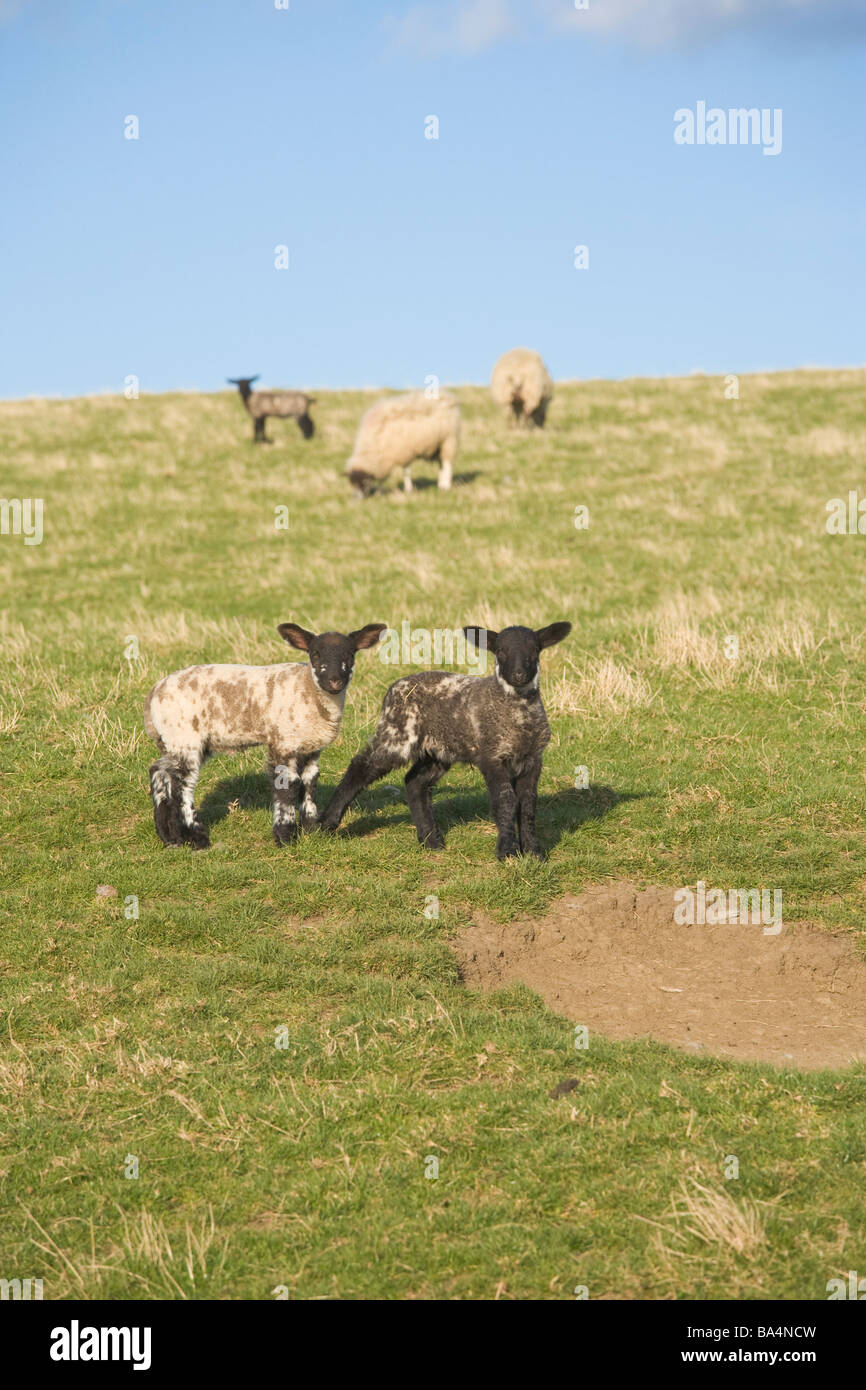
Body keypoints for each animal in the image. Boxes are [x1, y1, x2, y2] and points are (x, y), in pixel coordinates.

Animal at [143, 622, 383, 845]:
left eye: (350, 654)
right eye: (315, 653)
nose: (334, 681)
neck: (308, 690)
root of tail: (154, 692)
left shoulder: (311, 747)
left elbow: (309, 782)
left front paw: (312, 828)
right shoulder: (283, 741)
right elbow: (288, 786)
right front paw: (285, 835)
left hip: (177, 741)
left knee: (159, 772)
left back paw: (170, 837)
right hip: (185, 736)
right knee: (182, 785)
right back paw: (195, 837)